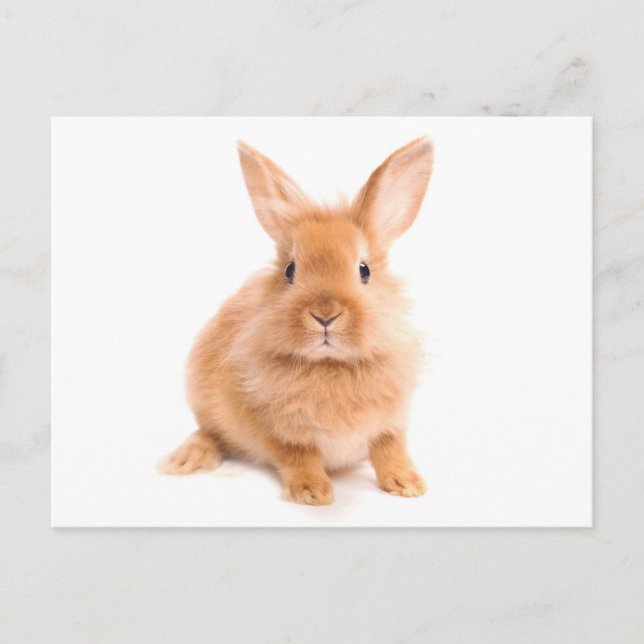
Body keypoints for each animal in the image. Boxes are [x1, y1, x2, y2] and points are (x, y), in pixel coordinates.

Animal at [161, 136, 434, 505]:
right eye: (290, 271)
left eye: (364, 270)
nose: (325, 314)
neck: (330, 366)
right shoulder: (278, 431)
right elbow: (298, 457)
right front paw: (312, 493)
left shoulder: (391, 423)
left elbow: (390, 450)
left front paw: (408, 485)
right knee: (210, 432)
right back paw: (186, 458)